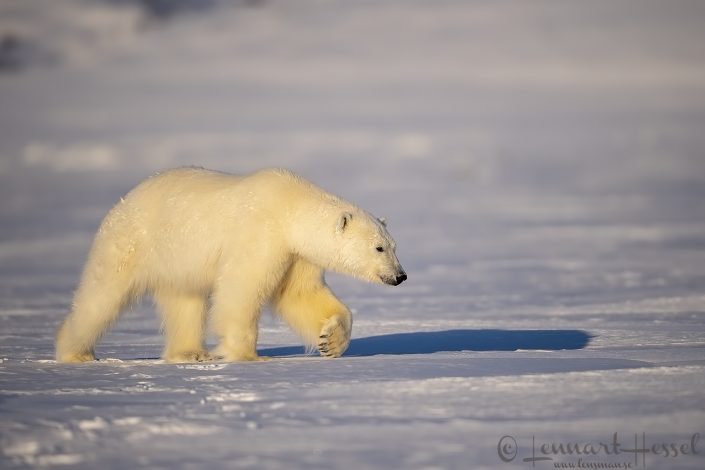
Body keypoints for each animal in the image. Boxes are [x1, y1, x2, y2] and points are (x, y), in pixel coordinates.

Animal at [55, 167, 406, 363]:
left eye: (394, 245)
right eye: (378, 247)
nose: (400, 276)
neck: (290, 206)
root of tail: (124, 201)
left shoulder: (296, 253)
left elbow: (301, 294)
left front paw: (330, 342)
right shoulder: (260, 232)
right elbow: (242, 288)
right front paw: (248, 356)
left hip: (178, 261)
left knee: (185, 302)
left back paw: (191, 353)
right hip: (132, 242)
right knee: (102, 296)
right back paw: (76, 352)